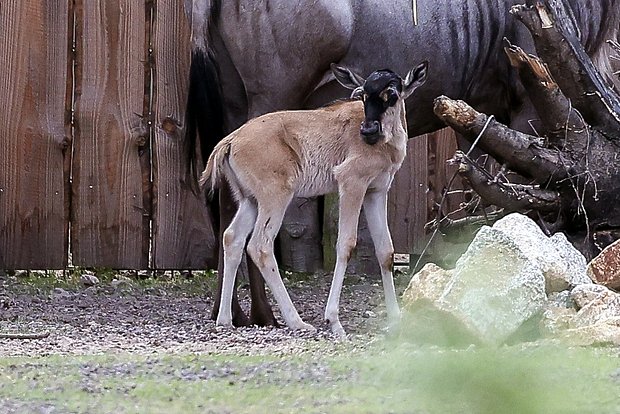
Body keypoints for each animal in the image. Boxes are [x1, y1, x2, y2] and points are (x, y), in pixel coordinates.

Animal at [201, 62, 428, 336]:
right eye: (363, 95)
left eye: (392, 94)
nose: (368, 130)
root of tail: (231, 140)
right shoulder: (351, 184)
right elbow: (346, 244)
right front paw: (334, 321)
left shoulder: (376, 191)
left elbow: (386, 249)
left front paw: (395, 318)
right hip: (276, 197)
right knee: (260, 245)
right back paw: (296, 321)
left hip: (251, 201)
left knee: (232, 238)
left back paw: (225, 319)